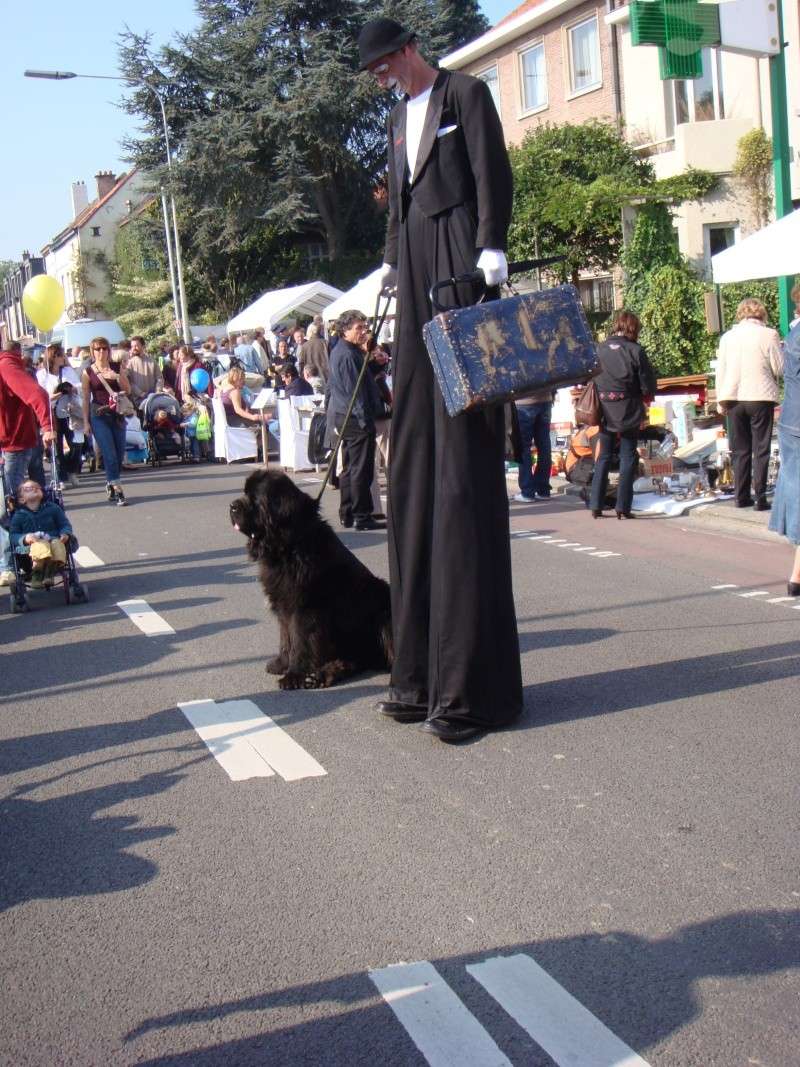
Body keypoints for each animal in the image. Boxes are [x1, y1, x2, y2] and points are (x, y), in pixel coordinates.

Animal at [230, 469, 392, 691]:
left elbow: (300, 642)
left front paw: (293, 676)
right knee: (354, 660)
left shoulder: (305, 608)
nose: (232, 506)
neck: (289, 546)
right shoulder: (284, 606)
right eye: (245, 492)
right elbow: (286, 638)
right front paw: (281, 664)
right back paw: (321, 676)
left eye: (254, 498)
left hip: (385, 611)